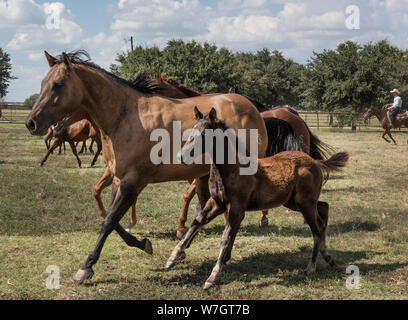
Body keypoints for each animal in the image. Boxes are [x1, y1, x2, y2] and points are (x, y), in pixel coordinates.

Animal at [24, 48, 268, 282]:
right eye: (42, 83)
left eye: (58, 84)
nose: (31, 123)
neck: (125, 117)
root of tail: (252, 108)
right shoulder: (119, 180)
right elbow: (110, 218)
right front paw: (144, 243)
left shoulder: (132, 182)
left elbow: (109, 221)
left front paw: (86, 267)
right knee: (211, 210)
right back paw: (190, 252)